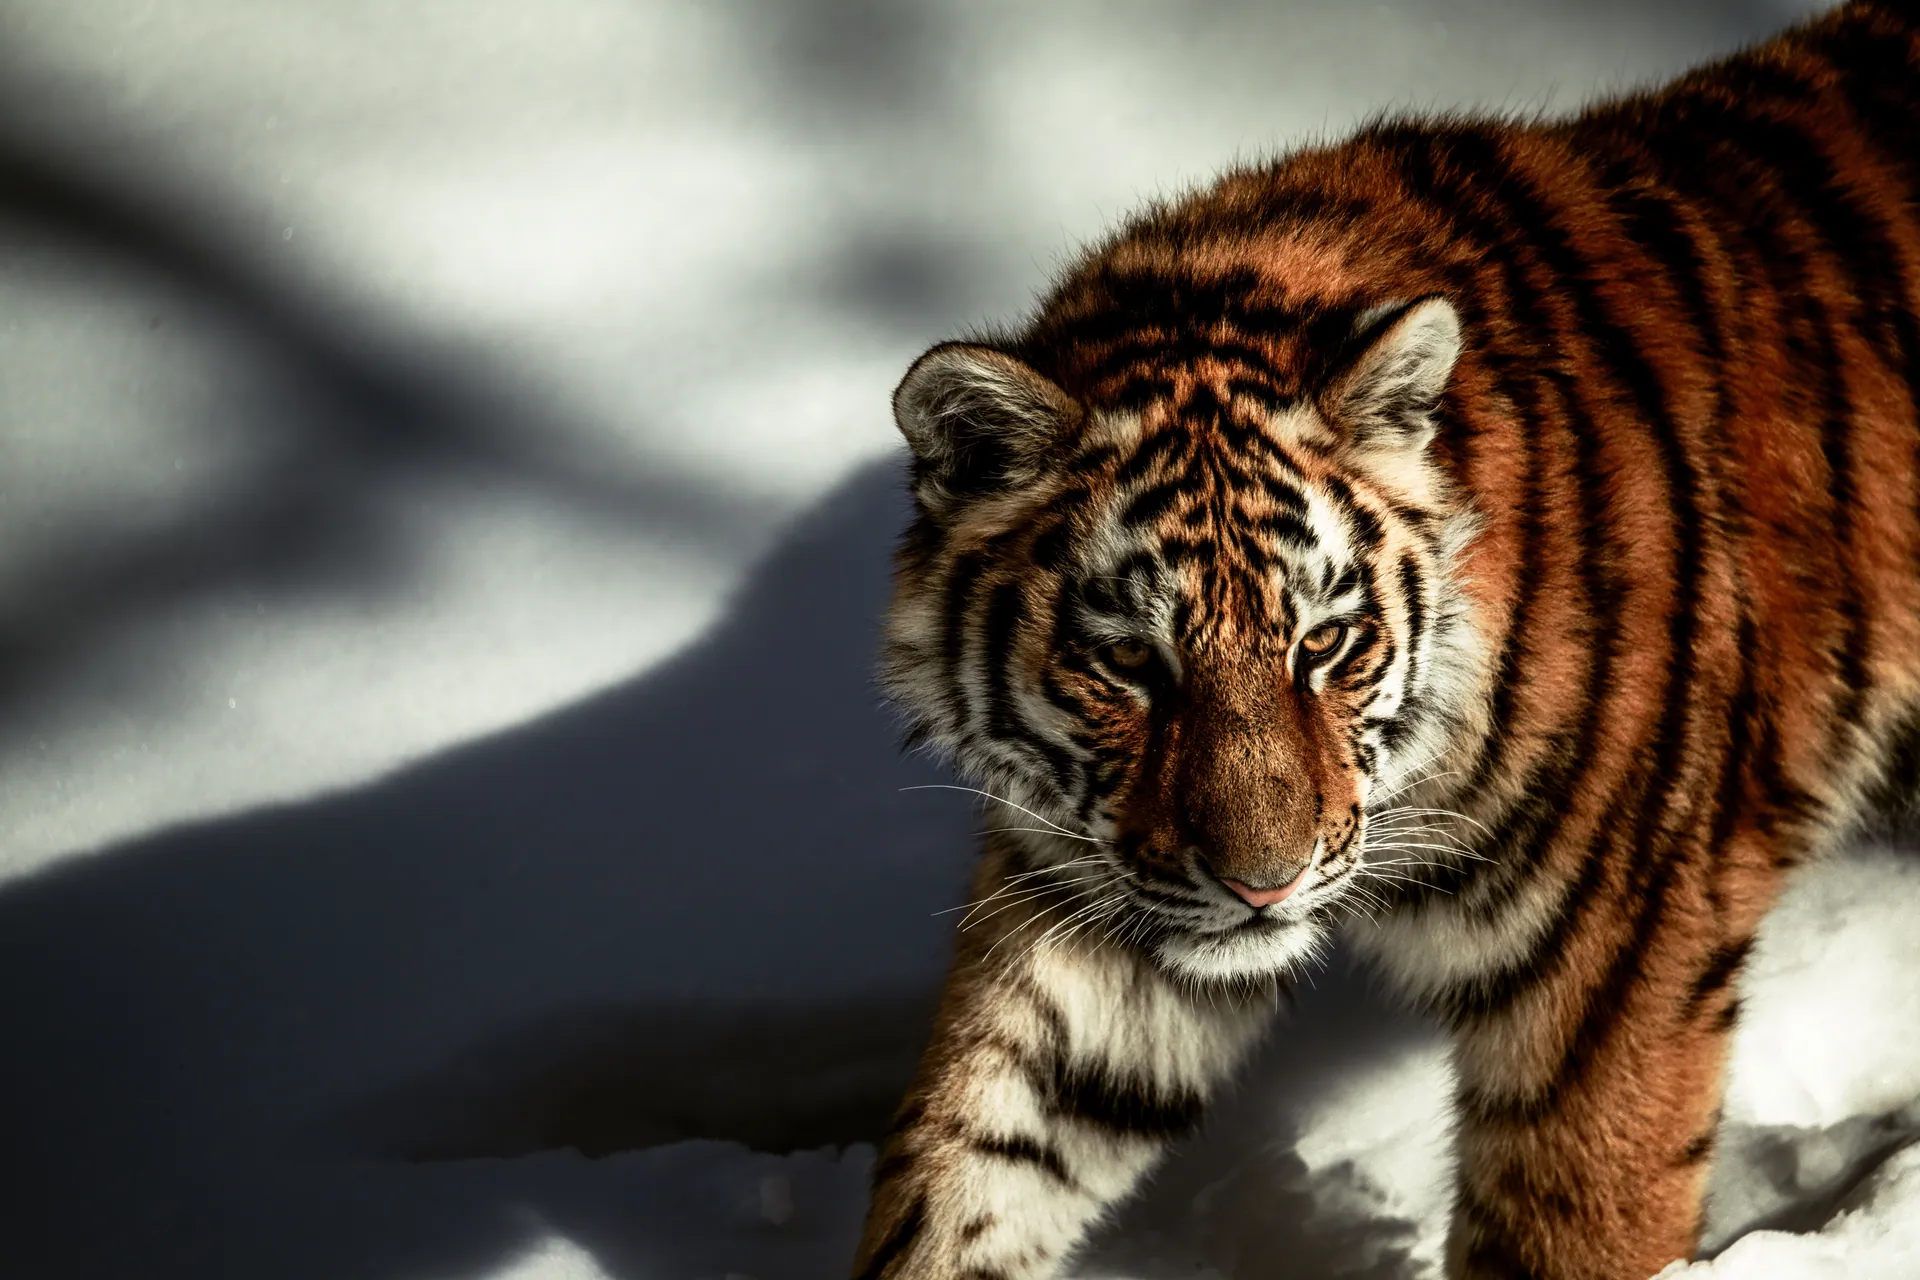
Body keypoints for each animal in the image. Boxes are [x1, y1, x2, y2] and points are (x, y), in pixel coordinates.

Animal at [847, 3, 1920, 1278]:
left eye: (1326, 642)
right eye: (1131, 662)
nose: (1263, 886)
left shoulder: (1618, 970)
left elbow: (1573, 1220)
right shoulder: (1091, 898)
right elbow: (966, 1166)